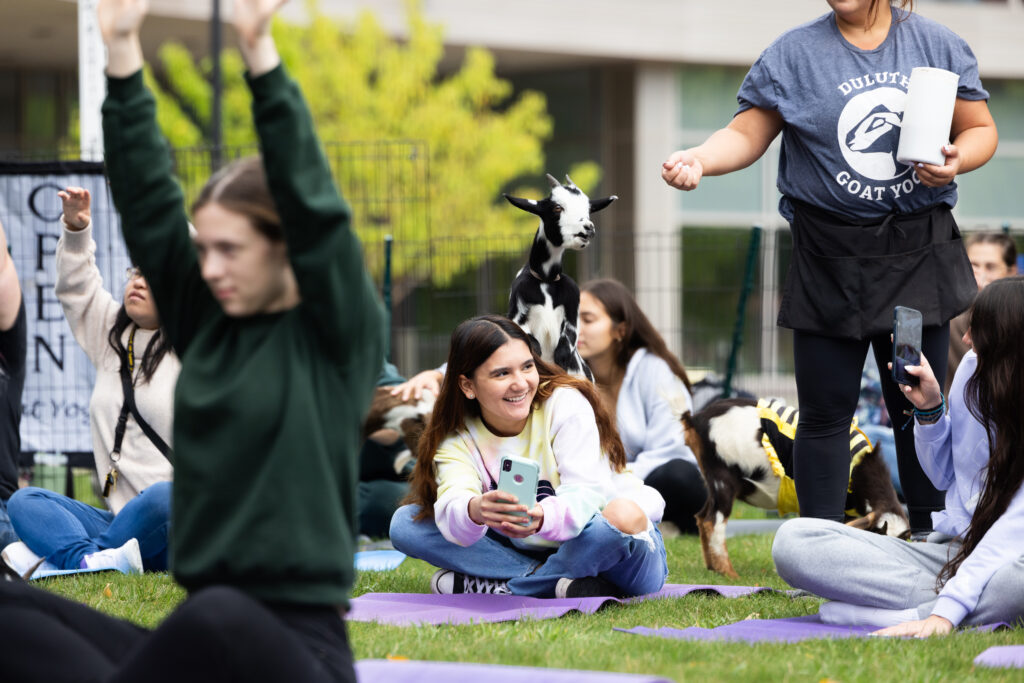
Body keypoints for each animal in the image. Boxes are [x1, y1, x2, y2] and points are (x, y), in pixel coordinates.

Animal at [503, 175, 614, 378]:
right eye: (557, 208)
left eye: (588, 210)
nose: (588, 228)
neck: (546, 279)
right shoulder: (517, 308)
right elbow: (525, 336)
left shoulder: (573, 305)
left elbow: (569, 336)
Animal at [679, 397, 905, 581]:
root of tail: (695, 420)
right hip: (723, 479)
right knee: (712, 522)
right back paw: (730, 575)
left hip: (712, 482)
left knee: (701, 516)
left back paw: (713, 569)